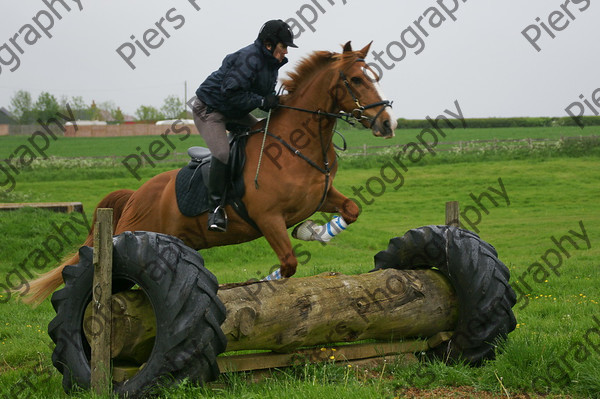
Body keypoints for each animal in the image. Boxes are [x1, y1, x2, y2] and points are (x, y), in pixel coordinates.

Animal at [21, 41, 398, 306]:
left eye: (375, 77)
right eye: (355, 79)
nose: (387, 124)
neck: (298, 143)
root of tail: (135, 195)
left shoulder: (322, 196)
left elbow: (351, 209)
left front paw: (314, 231)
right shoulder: (268, 217)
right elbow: (288, 264)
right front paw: (264, 281)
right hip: (132, 233)